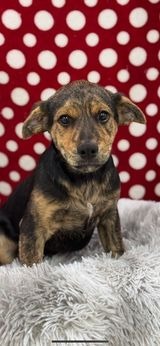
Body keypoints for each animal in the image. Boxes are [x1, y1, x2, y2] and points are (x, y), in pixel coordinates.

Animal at [0, 80, 146, 264]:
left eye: (103, 115)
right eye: (64, 119)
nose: (88, 149)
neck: (85, 179)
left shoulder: (109, 215)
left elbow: (116, 247)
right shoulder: (33, 226)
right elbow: (32, 263)